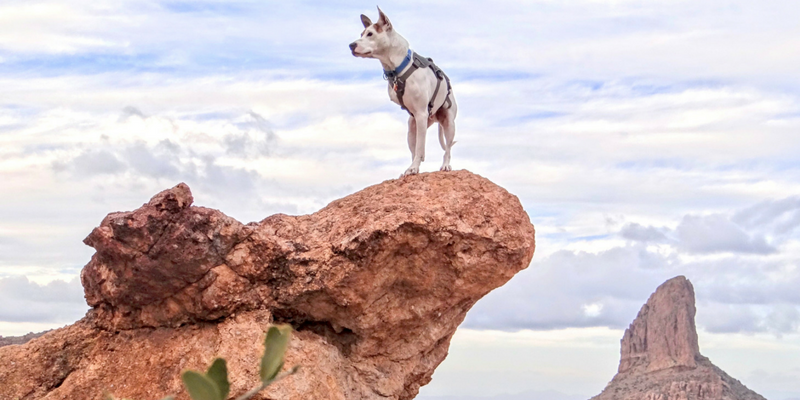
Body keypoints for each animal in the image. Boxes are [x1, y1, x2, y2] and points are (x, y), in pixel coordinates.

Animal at [348, 7, 456, 176]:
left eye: (370, 34)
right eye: (361, 34)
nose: (351, 45)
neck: (397, 68)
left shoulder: (421, 114)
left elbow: (421, 148)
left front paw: (414, 168)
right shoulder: (418, 118)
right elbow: (417, 149)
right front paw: (413, 168)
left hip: (448, 123)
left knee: (448, 149)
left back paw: (445, 165)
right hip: (412, 127)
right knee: (414, 149)